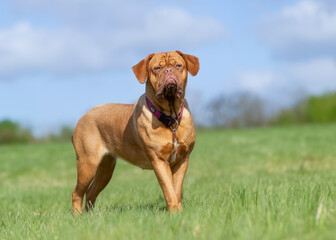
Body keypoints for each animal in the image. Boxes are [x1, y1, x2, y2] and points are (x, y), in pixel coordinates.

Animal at [71, 50, 200, 214]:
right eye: (157, 68)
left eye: (178, 65)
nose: (169, 70)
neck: (170, 117)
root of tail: (82, 117)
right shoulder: (159, 160)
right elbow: (169, 190)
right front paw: (175, 213)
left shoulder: (182, 160)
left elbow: (176, 190)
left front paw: (179, 212)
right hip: (87, 164)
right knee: (77, 192)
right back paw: (78, 216)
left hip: (106, 168)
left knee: (91, 192)